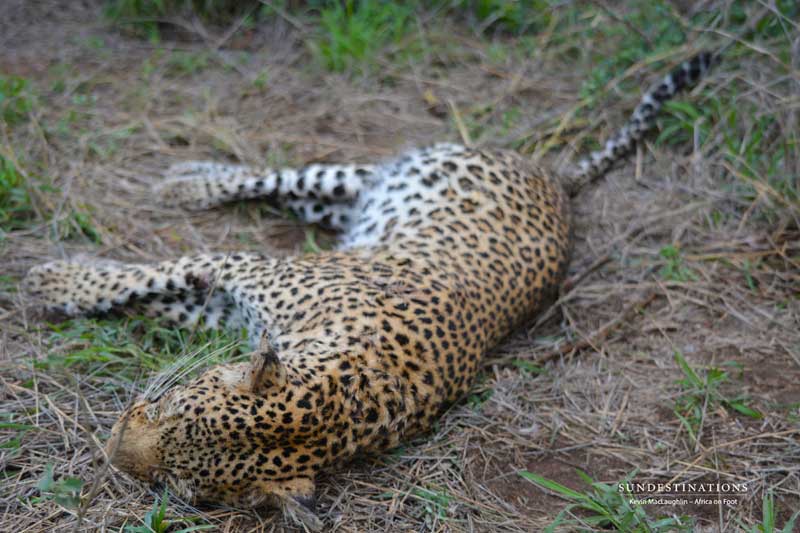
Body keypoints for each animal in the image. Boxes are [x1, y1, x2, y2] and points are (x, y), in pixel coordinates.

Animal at [23, 51, 716, 527]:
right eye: (169, 411)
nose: (111, 452)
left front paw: (60, 283)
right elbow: (147, 273)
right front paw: (59, 279)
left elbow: (159, 290)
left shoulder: (228, 305)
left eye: (175, 488)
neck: (342, 386)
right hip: (368, 178)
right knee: (269, 178)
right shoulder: (245, 272)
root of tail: (559, 179)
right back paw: (187, 181)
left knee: (289, 191)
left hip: (349, 201)